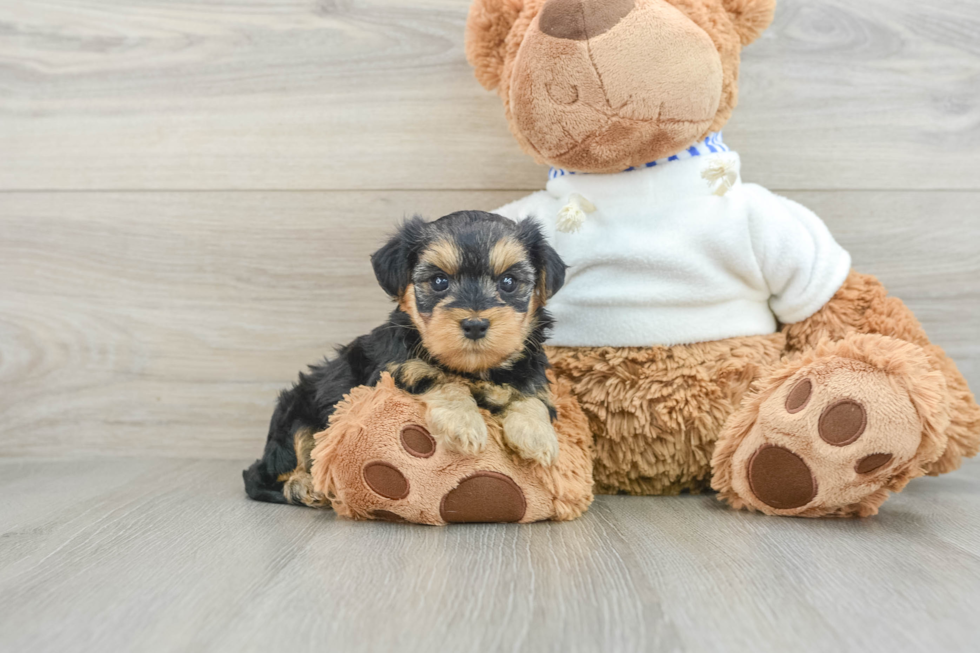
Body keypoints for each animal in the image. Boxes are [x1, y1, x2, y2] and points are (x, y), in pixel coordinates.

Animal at [243, 211, 568, 506]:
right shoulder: (395, 371)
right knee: (276, 467)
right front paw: (464, 423)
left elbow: (533, 398)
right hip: (294, 415)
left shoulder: (532, 374)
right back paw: (304, 486)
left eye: (509, 282)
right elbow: (439, 379)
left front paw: (538, 437)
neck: (475, 369)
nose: (475, 324)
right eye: (439, 281)